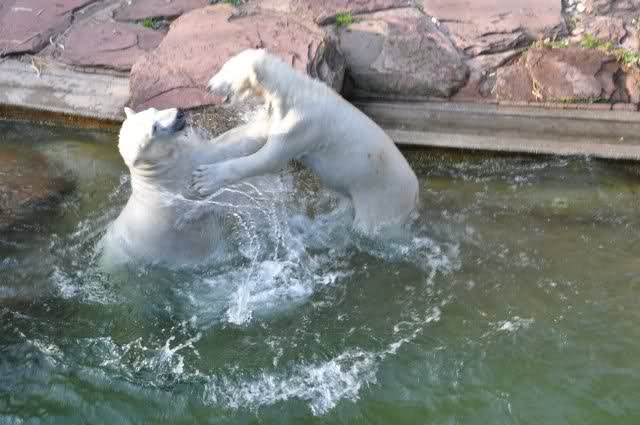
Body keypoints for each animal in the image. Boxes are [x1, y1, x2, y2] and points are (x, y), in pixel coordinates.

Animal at [99, 106, 269, 267]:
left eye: (153, 110)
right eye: (154, 128)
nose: (179, 113)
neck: (155, 172)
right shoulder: (186, 169)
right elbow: (228, 148)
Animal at [191, 49, 419, 234]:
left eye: (226, 69)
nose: (208, 86)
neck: (292, 92)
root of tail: (416, 190)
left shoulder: (303, 124)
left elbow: (269, 159)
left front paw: (205, 179)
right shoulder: (278, 115)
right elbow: (248, 135)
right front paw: (200, 148)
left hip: (382, 194)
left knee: (372, 225)